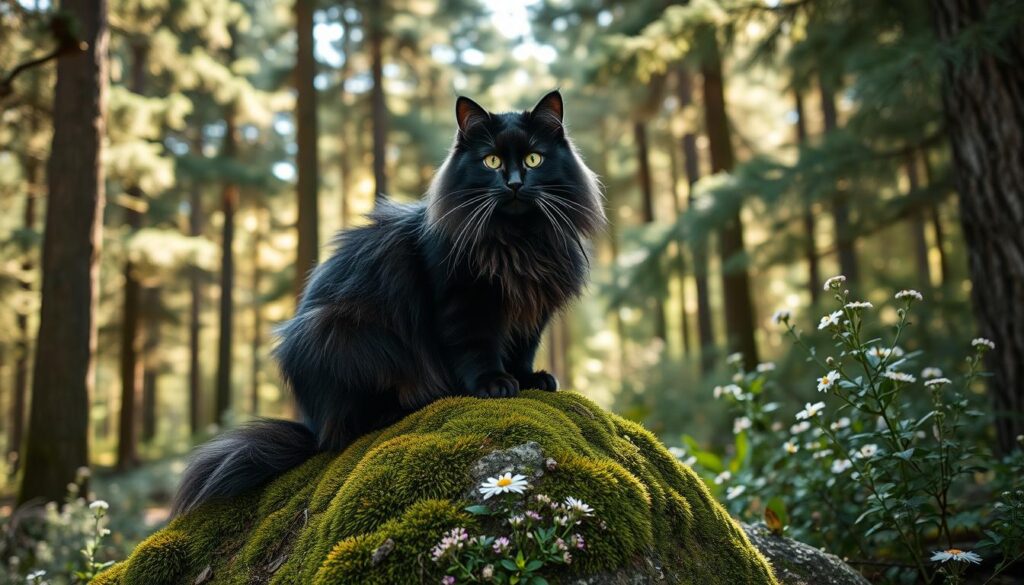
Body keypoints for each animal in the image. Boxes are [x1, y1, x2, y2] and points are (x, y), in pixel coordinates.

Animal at [172, 89, 602, 514]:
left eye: (534, 159)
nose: (513, 183)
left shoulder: (532, 313)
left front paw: (531, 379)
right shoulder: (462, 304)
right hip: (347, 335)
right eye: (491, 160)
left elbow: (522, 351)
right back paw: (406, 406)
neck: (517, 242)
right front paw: (494, 384)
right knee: (352, 425)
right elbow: (476, 350)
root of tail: (313, 428)